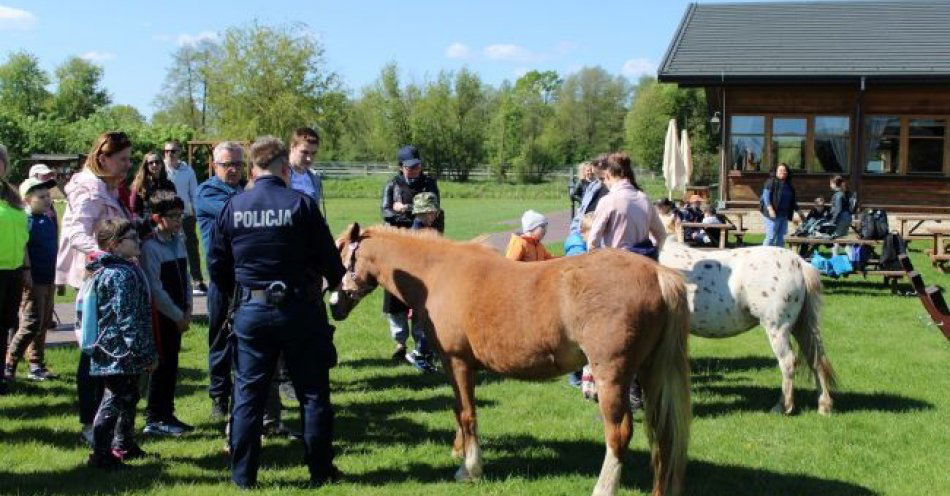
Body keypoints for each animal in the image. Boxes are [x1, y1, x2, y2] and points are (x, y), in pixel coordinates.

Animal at [330, 225, 692, 496]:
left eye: (340, 256)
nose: (334, 306)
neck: (436, 275)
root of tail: (657, 273)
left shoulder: (457, 363)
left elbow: (466, 413)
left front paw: (469, 469)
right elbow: (460, 411)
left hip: (612, 375)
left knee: (619, 432)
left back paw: (602, 488)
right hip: (650, 372)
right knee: (662, 434)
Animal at [660, 240, 836, 414]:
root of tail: (799, 263)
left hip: (778, 328)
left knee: (787, 361)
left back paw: (782, 406)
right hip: (800, 326)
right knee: (815, 357)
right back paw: (823, 405)